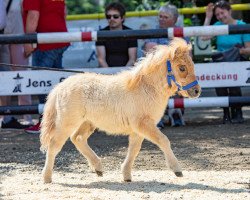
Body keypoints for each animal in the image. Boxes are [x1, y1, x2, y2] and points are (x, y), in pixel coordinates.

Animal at [40, 37, 201, 183]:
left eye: (193, 65)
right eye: (182, 67)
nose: (196, 91)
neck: (146, 89)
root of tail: (61, 87)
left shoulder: (138, 129)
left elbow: (134, 149)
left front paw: (126, 175)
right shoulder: (143, 124)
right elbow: (163, 140)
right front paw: (177, 170)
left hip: (87, 123)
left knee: (78, 138)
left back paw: (98, 168)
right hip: (67, 123)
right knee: (54, 145)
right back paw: (47, 178)